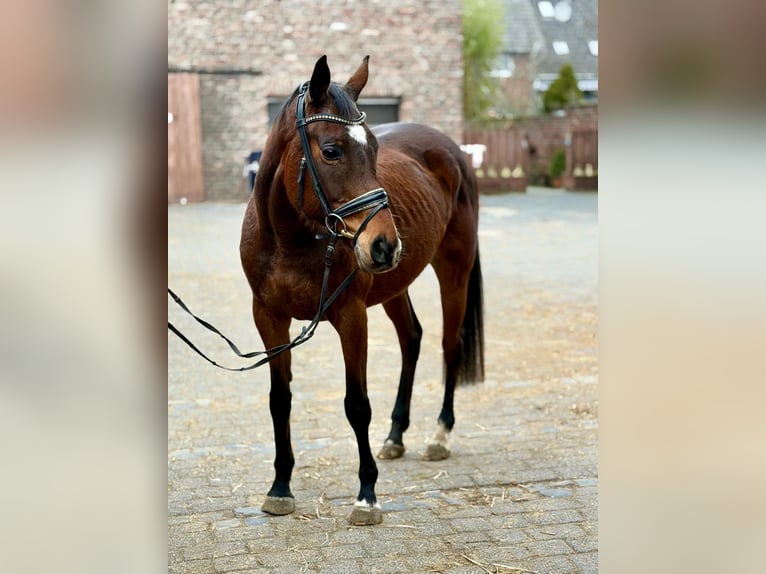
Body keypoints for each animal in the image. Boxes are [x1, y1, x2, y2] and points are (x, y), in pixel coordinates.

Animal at [239, 55, 484, 525]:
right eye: (331, 150)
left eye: (373, 148)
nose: (384, 244)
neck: (289, 241)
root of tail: (452, 150)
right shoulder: (269, 319)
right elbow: (280, 400)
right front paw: (280, 487)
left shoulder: (351, 316)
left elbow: (357, 404)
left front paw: (366, 495)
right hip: (394, 286)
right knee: (412, 338)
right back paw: (396, 435)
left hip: (454, 270)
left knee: (450, 345)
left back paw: (439, 436)